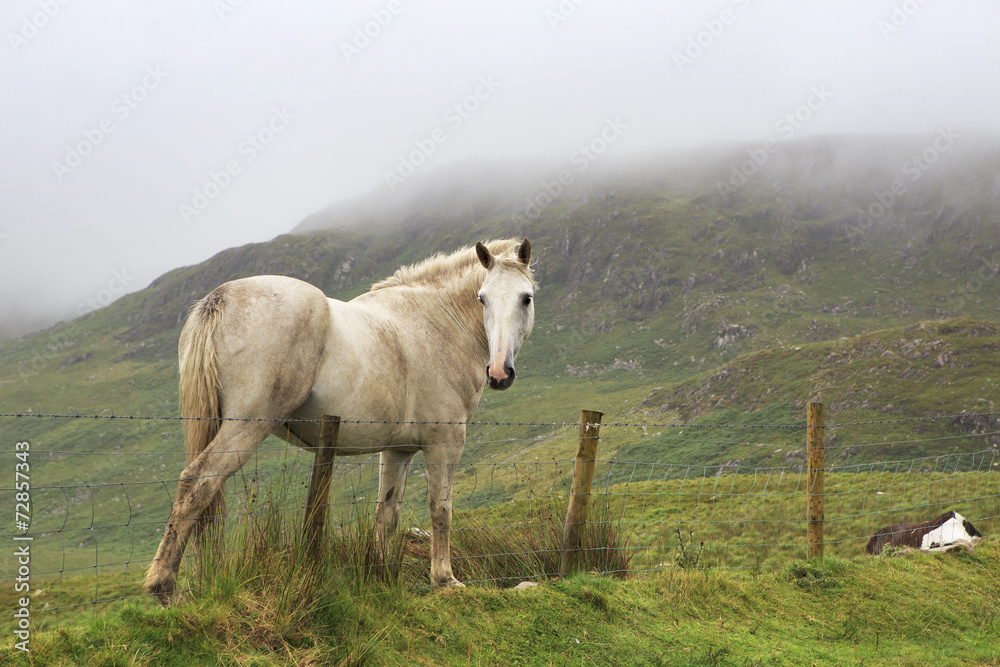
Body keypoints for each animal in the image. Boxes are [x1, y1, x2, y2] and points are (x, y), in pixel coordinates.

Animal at [144, 239, 536, 604]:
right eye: (482, 298)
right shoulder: (445, 442)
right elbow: (441, 509)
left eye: (525, 298)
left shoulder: (398, 450)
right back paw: (165, 588)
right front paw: (445, 580)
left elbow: (386, 514)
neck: (438, 322)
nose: (499, 372)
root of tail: (219, 298)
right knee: (199, 483)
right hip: (247, 426)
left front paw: (381, 576)